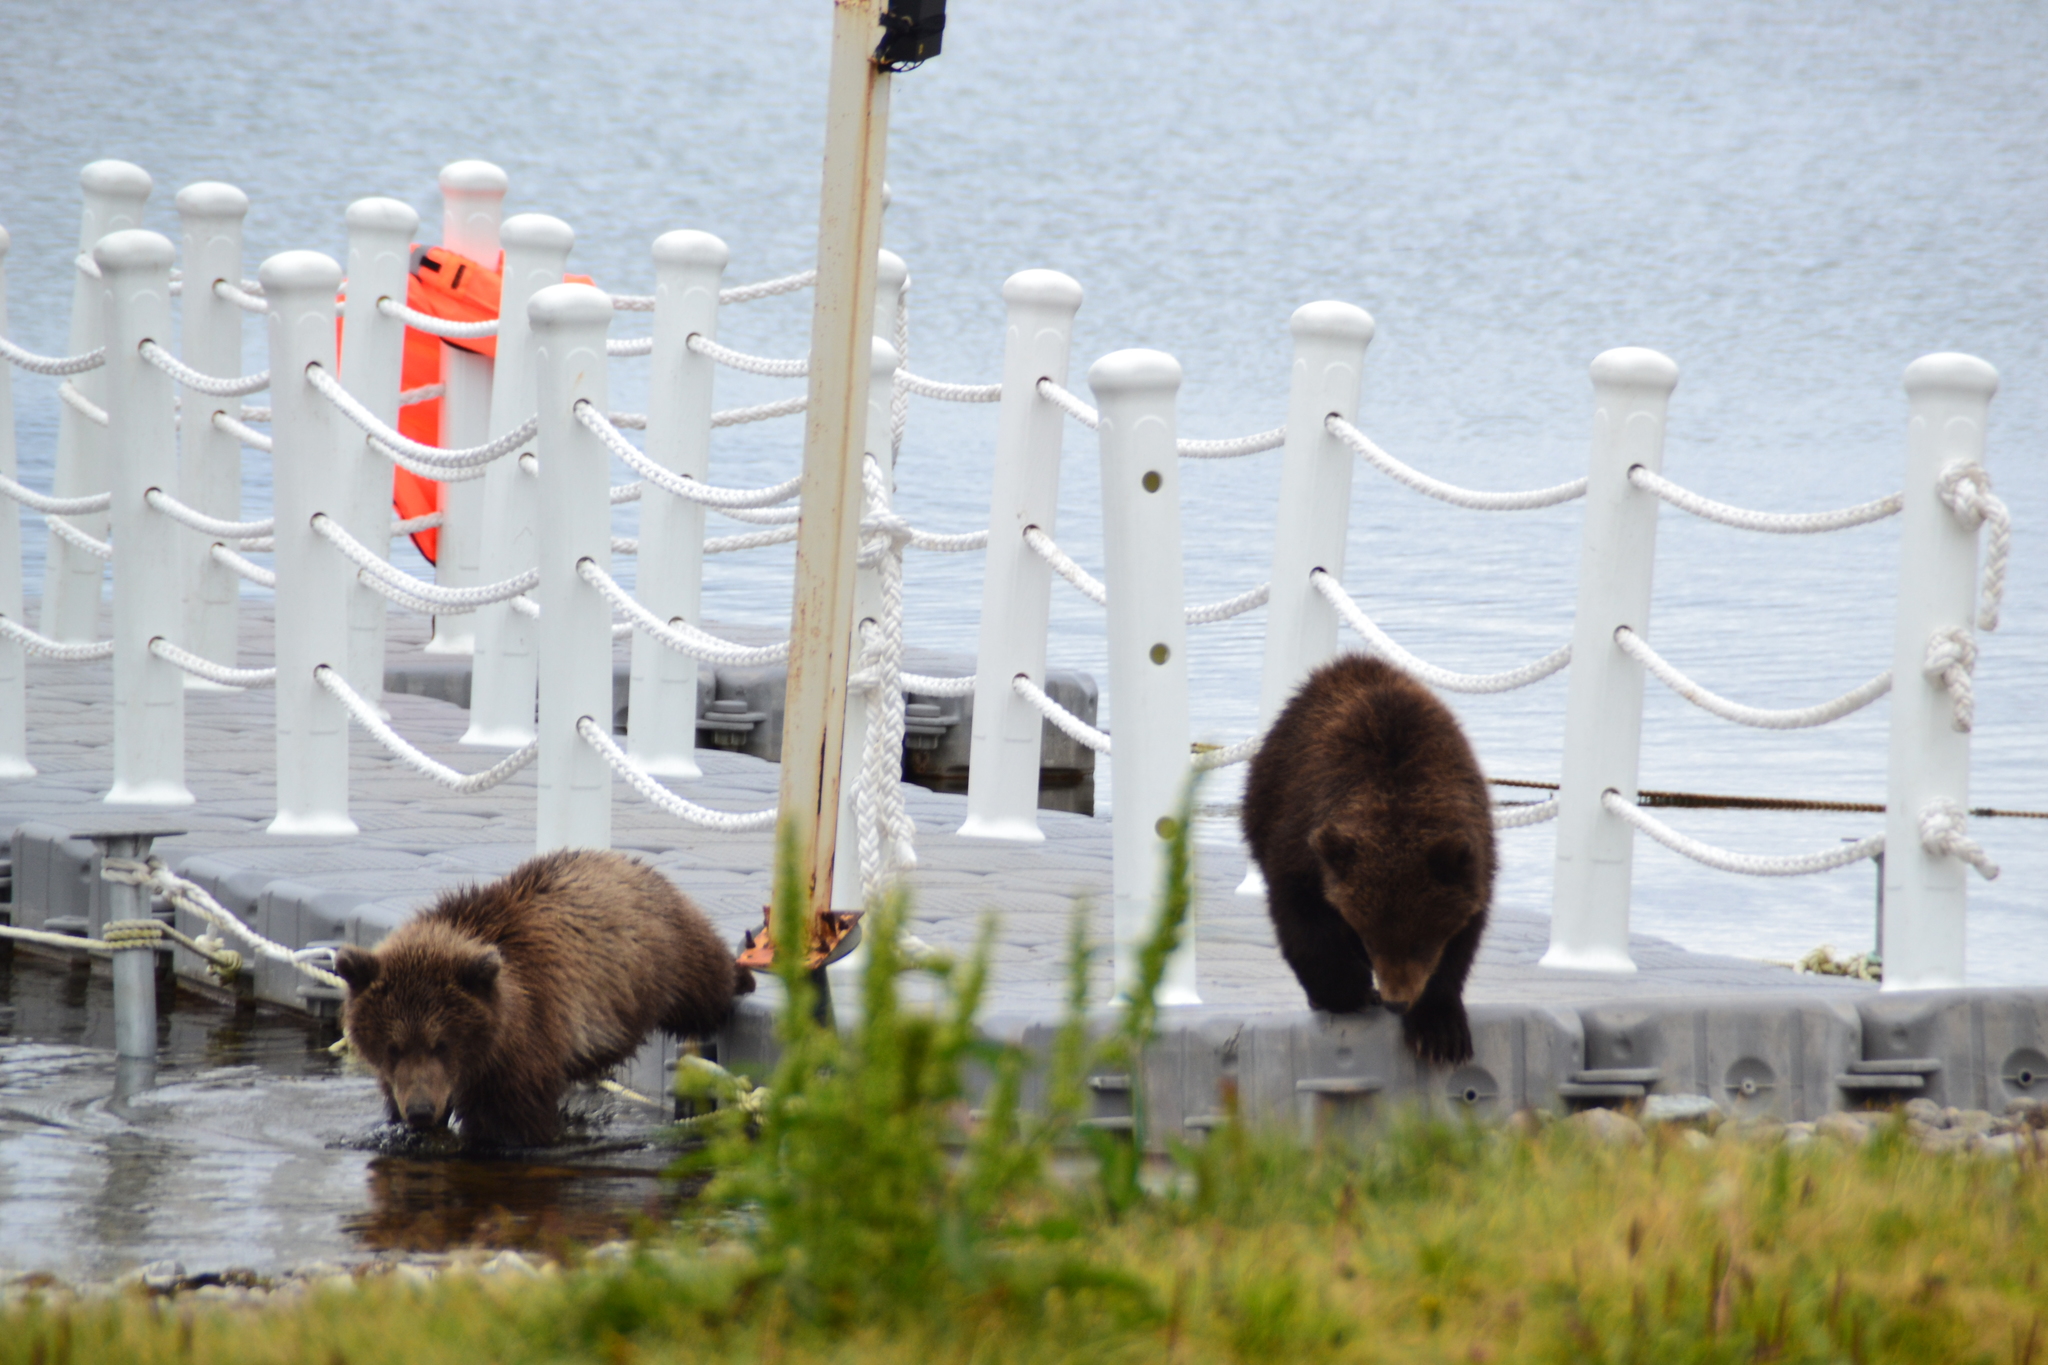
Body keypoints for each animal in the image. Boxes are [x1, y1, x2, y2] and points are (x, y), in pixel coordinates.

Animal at [331, 847, 757, 1146]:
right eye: (393, 1046)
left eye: (442, 1043)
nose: (420, 1110)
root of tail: (626, 859)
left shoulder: (528, 1036)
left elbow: (513, 1123)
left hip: (665, 953)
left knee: (702, 985)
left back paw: (742, 975)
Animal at [1236, 654, 1499, 1064]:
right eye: (1371, 938)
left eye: (1422, 941)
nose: (1396, 1001)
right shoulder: (1306, 846)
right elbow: (1303, 919)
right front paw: (1349, 991)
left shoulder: (1474, 860)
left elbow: (1461, 940)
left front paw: (1439, 1031)